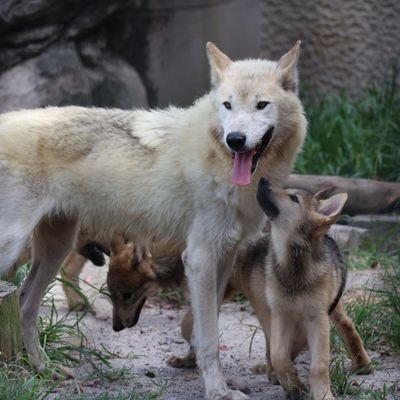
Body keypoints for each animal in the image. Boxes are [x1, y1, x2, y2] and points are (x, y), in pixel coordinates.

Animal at [0, 42, 306, 398]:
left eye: (261, 105)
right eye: (228, 105)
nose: (236, 139)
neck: (217, 157)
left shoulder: (224, 257)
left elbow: (204, 325)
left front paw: (198, 370)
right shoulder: (199, 258)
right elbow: (210, 337)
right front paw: (217, 391)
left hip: (56, 249)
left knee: (25, 305)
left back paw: (44, 370)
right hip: (17, 249)